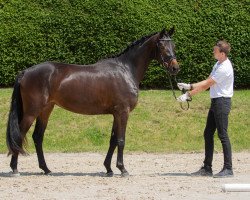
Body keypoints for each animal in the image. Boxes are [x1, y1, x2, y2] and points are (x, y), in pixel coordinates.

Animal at [6, 27, 180, 177]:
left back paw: (46, 169)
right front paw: (122, 169)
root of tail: (25, 72)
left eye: (173, 45)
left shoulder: (116, 114)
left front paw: (109, 168)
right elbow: (121, 140)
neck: (126, 70)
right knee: (19, 135)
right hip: (32, 111)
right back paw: (15, 169)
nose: (175, 68)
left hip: (45, 110)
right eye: (162, 45)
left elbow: (113, 140)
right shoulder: (123, 112)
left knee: (38, 137)